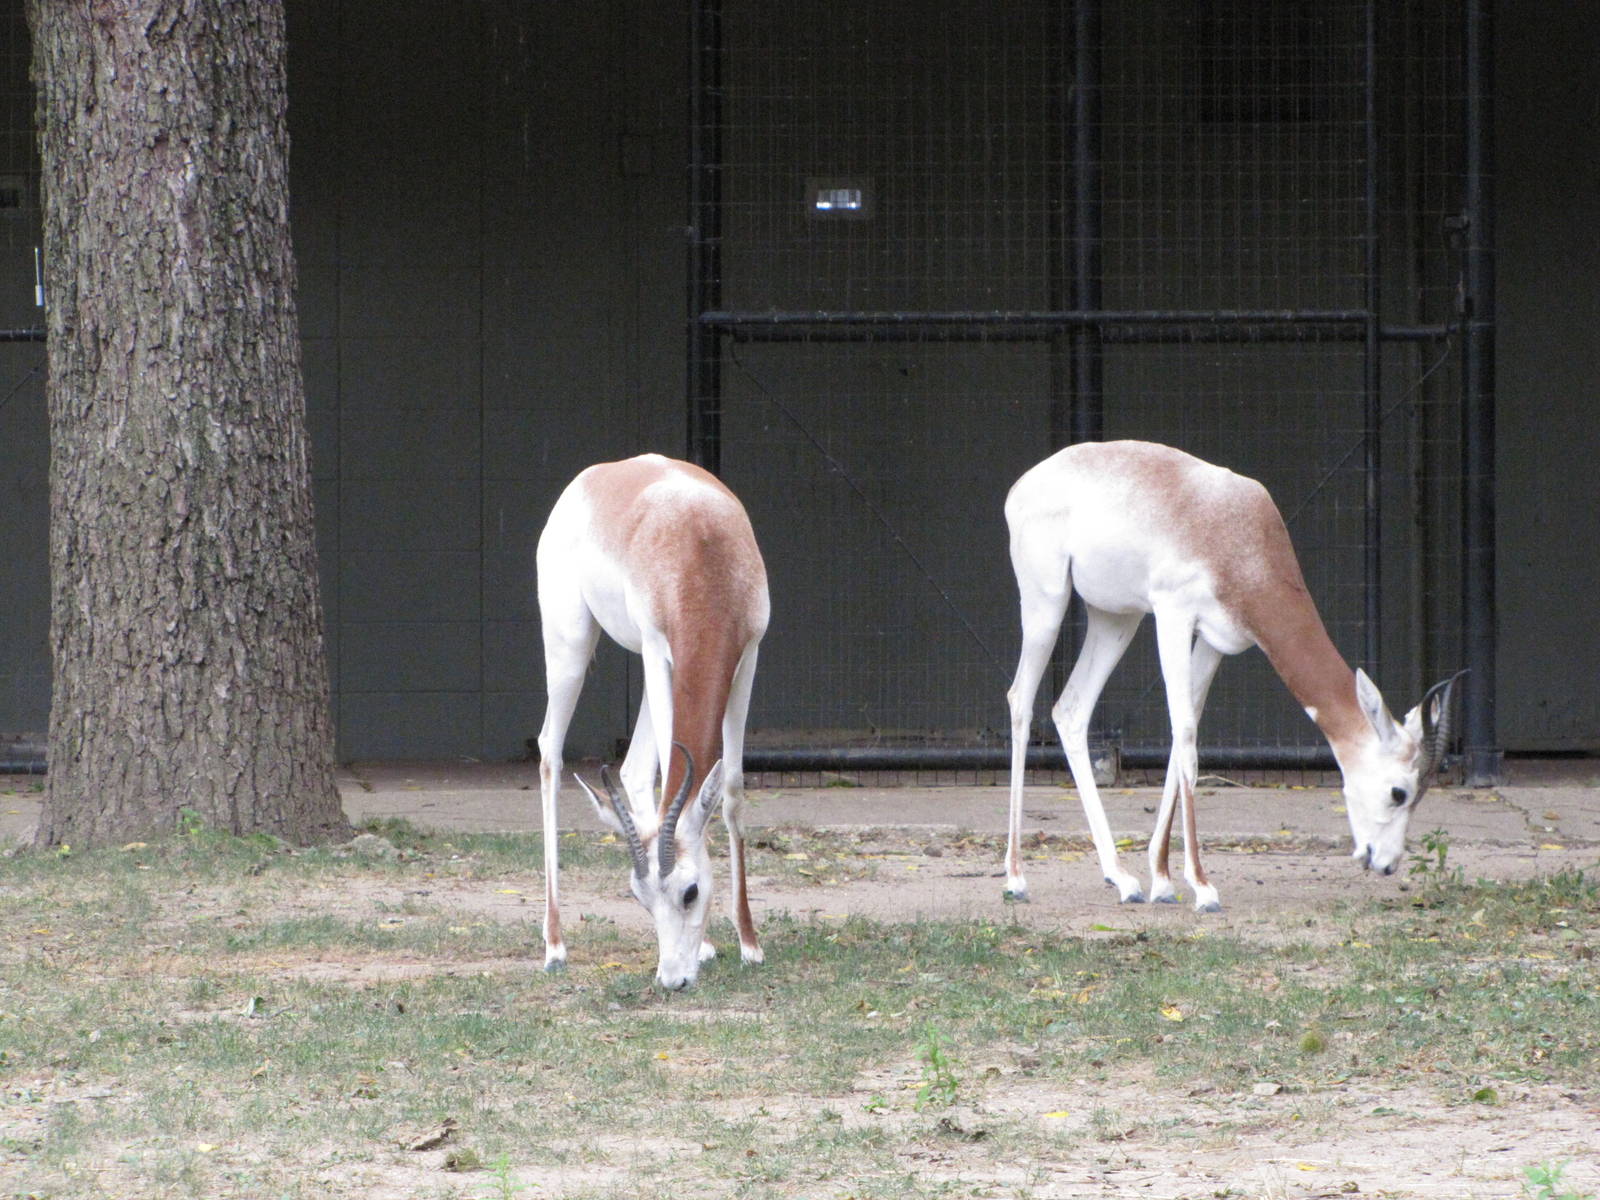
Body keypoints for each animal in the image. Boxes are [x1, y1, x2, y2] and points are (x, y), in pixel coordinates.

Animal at [535, 453, 769, 989]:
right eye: (638, 898)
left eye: (689, 891)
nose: (672, 980)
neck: (702, 553)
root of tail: (592, 478)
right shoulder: (661, 646)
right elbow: (678, 773)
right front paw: (714, 944)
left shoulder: (747, 654)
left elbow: (730, 787)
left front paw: (749, 943)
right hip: (573, 647)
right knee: (549, 753)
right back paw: (555, 944)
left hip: (642, 662)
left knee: (633, 769)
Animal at [1003, 440, 1461, 912]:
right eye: (1398, 792)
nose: (1387, 863)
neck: (1234, 535)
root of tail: (1027, 481)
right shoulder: (1173, 616)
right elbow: (1186, 737)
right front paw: (1203, 887)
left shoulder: (1216, 641)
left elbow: (1183, 738)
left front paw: (1163, 881)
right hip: (1047, 603)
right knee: (1021, 699)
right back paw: (1016, 878)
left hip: (1115, 617)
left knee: (1071, 710)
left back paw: (1122, 878)